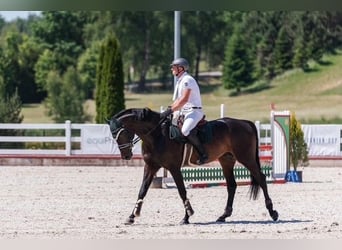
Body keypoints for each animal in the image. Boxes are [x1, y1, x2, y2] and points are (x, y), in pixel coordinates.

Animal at [108, 107, 280, 225]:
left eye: (121, 134)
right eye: (113, 136)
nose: (126, 156)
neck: (156, 135)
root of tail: (244, 122)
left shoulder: (173, 167)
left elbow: (182, 191)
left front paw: (187, 215)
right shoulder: (150, 167)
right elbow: (142, 190)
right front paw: (132, 216)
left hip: (246, 158)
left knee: (261, 178)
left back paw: (272, 212)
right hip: (226, 160)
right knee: (231, 185)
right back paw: (223, 215)